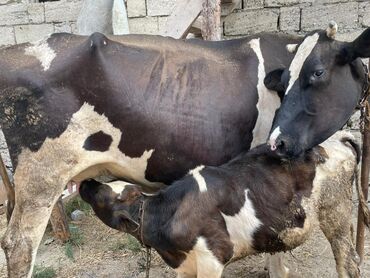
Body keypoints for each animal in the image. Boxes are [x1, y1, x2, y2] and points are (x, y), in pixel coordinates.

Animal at [80, 132, 362, 278]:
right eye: (109, 185)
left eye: (103, 194)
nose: (86, 182)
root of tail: (336, 139)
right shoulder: (184, 267)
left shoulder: (214, 258)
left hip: (336, 213)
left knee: (348, 261)